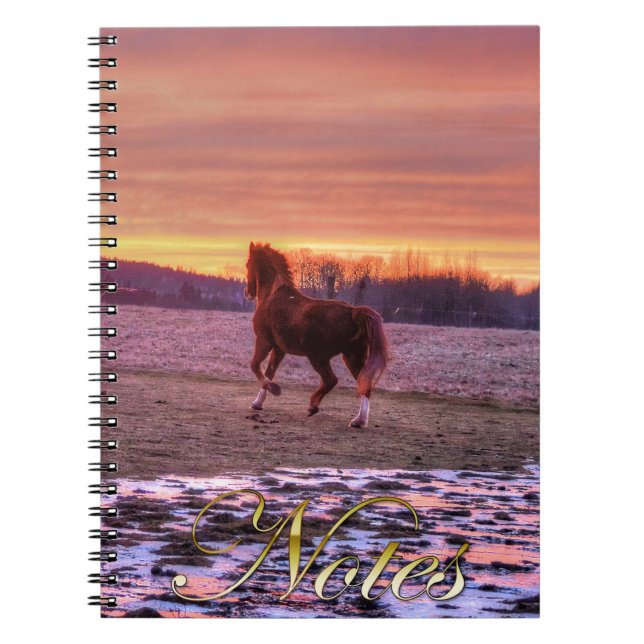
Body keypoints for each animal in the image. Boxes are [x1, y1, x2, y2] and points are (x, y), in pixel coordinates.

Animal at [244, 242, 389, 428]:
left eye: (248, 264)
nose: (248, 293)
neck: (272, 294)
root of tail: (353, 312)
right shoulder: (279, 349)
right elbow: (269, 372)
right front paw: (258, 403)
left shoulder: (264, 342)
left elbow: (255, 366)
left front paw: (273, 390)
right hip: (352, 356)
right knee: (364, 384)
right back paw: (359, 420)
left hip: (318, 357)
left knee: (331, 380)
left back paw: (313, 406)